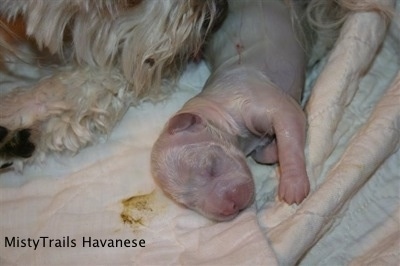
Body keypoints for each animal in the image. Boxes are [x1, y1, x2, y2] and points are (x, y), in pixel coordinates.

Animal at [150, 0, 310, 221]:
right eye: (188, 202)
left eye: (211, 167)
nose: (230, 207)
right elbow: (265, 152)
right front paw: (272, 150)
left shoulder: (254, 95)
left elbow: (289, 123)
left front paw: (293, 186)